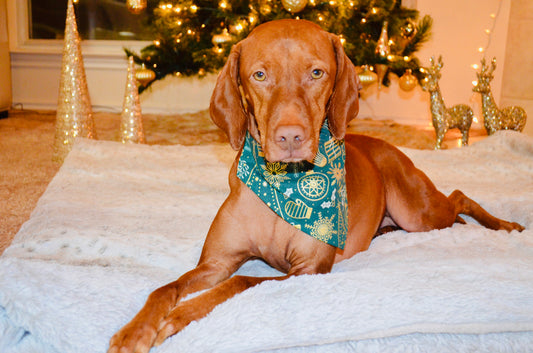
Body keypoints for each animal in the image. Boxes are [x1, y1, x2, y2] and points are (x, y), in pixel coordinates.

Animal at [106, 20, 520, 352]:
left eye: (317, 73)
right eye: (259, 75)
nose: (290, 137)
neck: (282, 185)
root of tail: (387, 146)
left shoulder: (306, 270)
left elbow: (240, 282)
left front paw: (179, 316)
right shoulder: (216, 261)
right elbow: (166, 288)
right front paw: (135, 330)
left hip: (417, 213)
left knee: (460, 197)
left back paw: (505, 225)